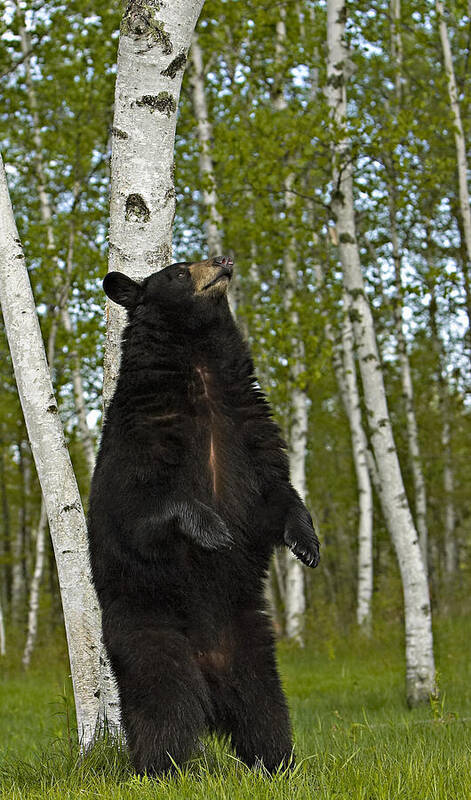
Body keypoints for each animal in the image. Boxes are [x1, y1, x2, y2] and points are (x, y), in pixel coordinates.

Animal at [87, 256, 320, 776]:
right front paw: (213, 530)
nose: (223, 261)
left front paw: (306, 544)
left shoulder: (250, 429)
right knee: (166, 706)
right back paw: (162, 769)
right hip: (151, 635)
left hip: (251, 644)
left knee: (265, 710)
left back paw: (279, 764)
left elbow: (278, 492)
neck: (200, 366)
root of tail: (212, 682)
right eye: (176, 272)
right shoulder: (141, 436)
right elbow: (141, 507)